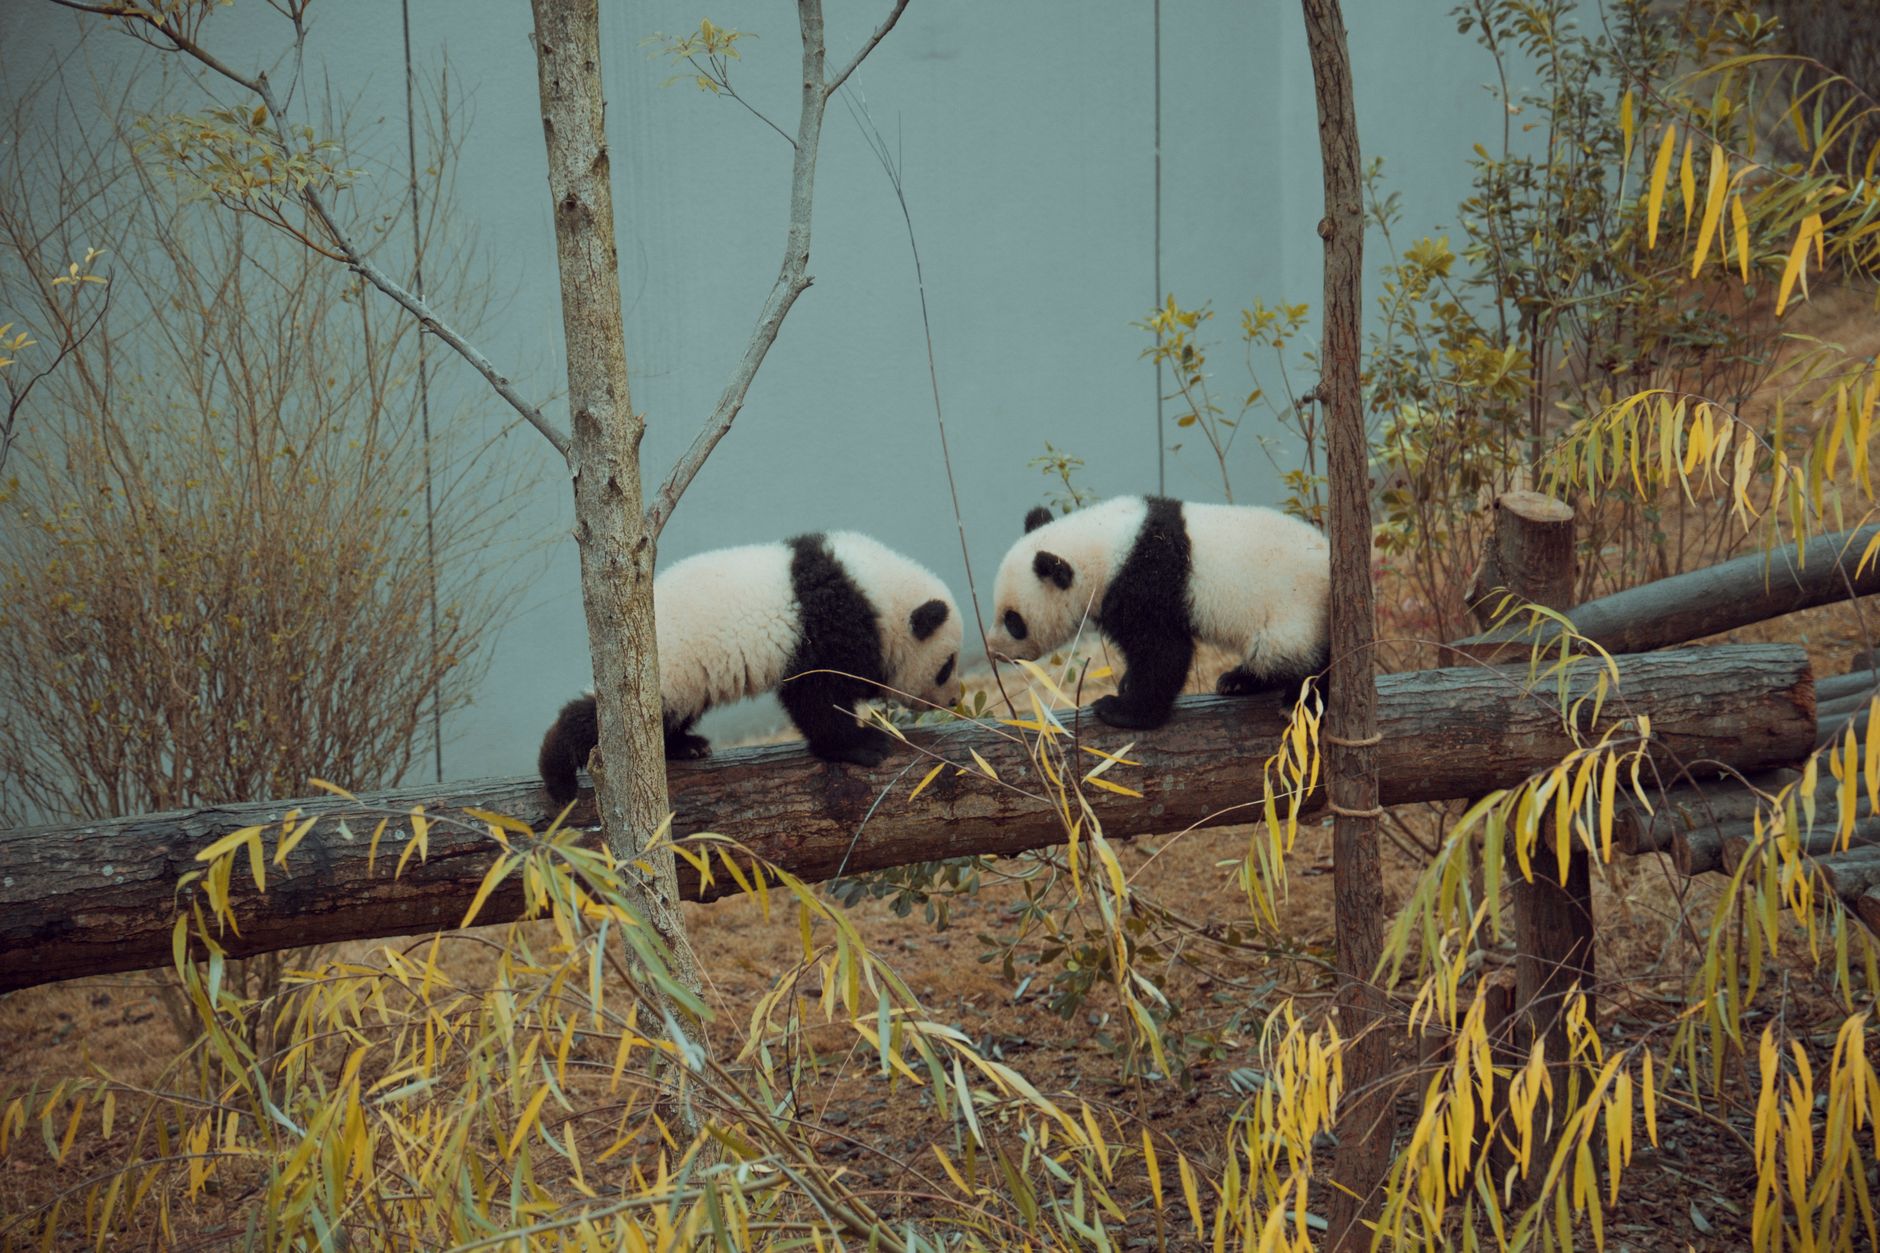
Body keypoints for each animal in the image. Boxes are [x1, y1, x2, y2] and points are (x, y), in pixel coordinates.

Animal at [538, 531, 965, 805]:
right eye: (946, 666)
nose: (956, 700)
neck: (874, 594)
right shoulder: (827, 625)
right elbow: (817, 696)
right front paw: (865, 744)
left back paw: (686, 747)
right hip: (662, 664)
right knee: (616, 717)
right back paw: (557, 775)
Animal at [983, 496, 1329, 730]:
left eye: (1013, 621)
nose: (994, 651)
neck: (1105, 548)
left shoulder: (1147, 582)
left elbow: (1164, 653)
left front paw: (1119, 709)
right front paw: (1125, 685)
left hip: (1297, 612)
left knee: (1298, 655)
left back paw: (1299, 702)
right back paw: (1237, 681)